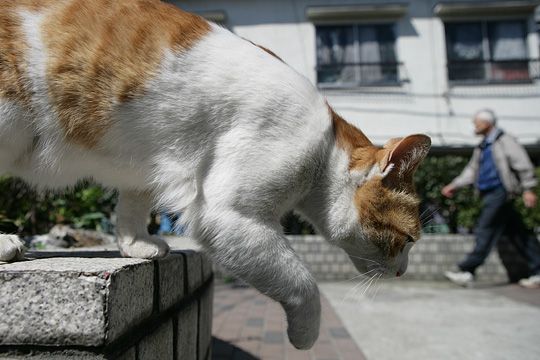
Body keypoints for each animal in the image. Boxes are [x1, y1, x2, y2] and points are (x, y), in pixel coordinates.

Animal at [0, 0, 430, 348]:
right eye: (408, 239)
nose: (403, 272)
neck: (324, 147)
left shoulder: (147, 166)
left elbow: (133, 204)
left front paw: (136, 243)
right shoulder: (228, 214)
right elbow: (303, 283)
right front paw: (306, 334)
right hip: (9, 118)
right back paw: (6, 244)